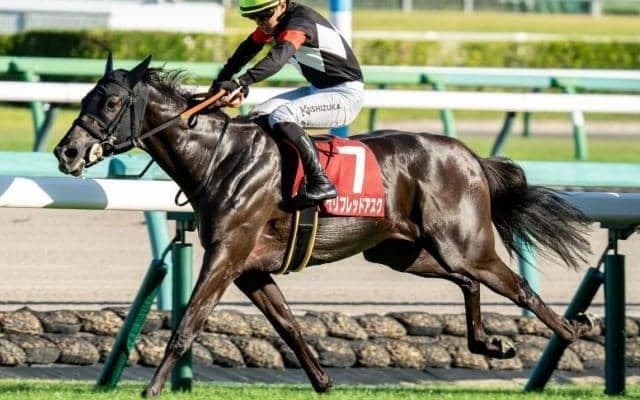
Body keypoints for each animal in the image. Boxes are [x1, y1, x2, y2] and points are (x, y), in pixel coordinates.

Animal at [54, 55, 594, 398]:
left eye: (110, 103)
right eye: (85, 98)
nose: (67, 151)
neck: (219, 158)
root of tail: (470, 156)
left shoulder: (227, 255)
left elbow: (187, 324)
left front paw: (151, 389)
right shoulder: (251, 268)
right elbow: (289, 326)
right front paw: (323, 382)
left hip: (463, 243)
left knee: (517, 286)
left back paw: (571, 328)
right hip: (402, 251)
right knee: (468, 282)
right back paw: (489, 342)